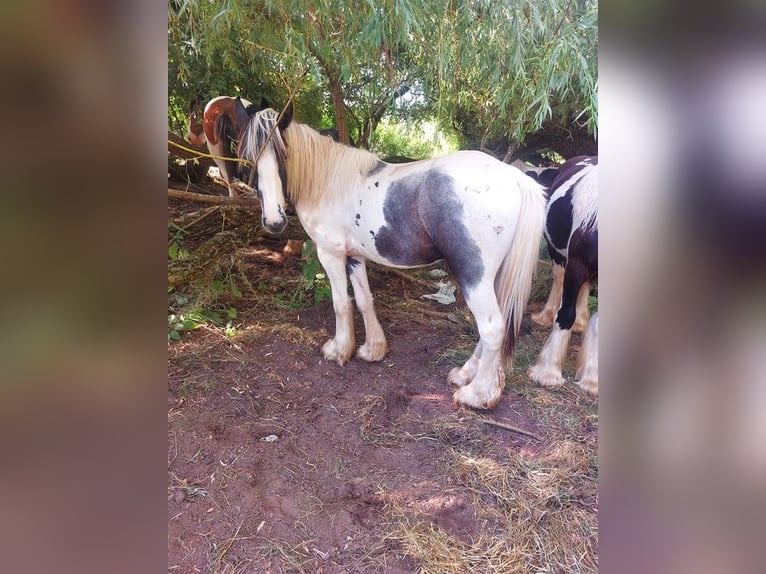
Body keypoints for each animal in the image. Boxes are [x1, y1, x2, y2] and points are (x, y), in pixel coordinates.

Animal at [240, 104, 544, 410]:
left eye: (283, 153)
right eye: (250, 158)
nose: (274, 221)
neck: (328, 183)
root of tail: (515, 177)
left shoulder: (331, 254)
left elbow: (341, 303)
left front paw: (338, 350)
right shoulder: (355, 256)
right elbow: (364, 300)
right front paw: (372, 350)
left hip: (474, 276)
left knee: (492, 327)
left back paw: (477, 395)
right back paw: (465, 374)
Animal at [528, 156, 600, 396]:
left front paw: (593, 380)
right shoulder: (576, 265)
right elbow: (564, 315)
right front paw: (548, 373)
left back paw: (580, 322)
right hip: (559, 256)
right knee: (559, 281)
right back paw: (545, 316)